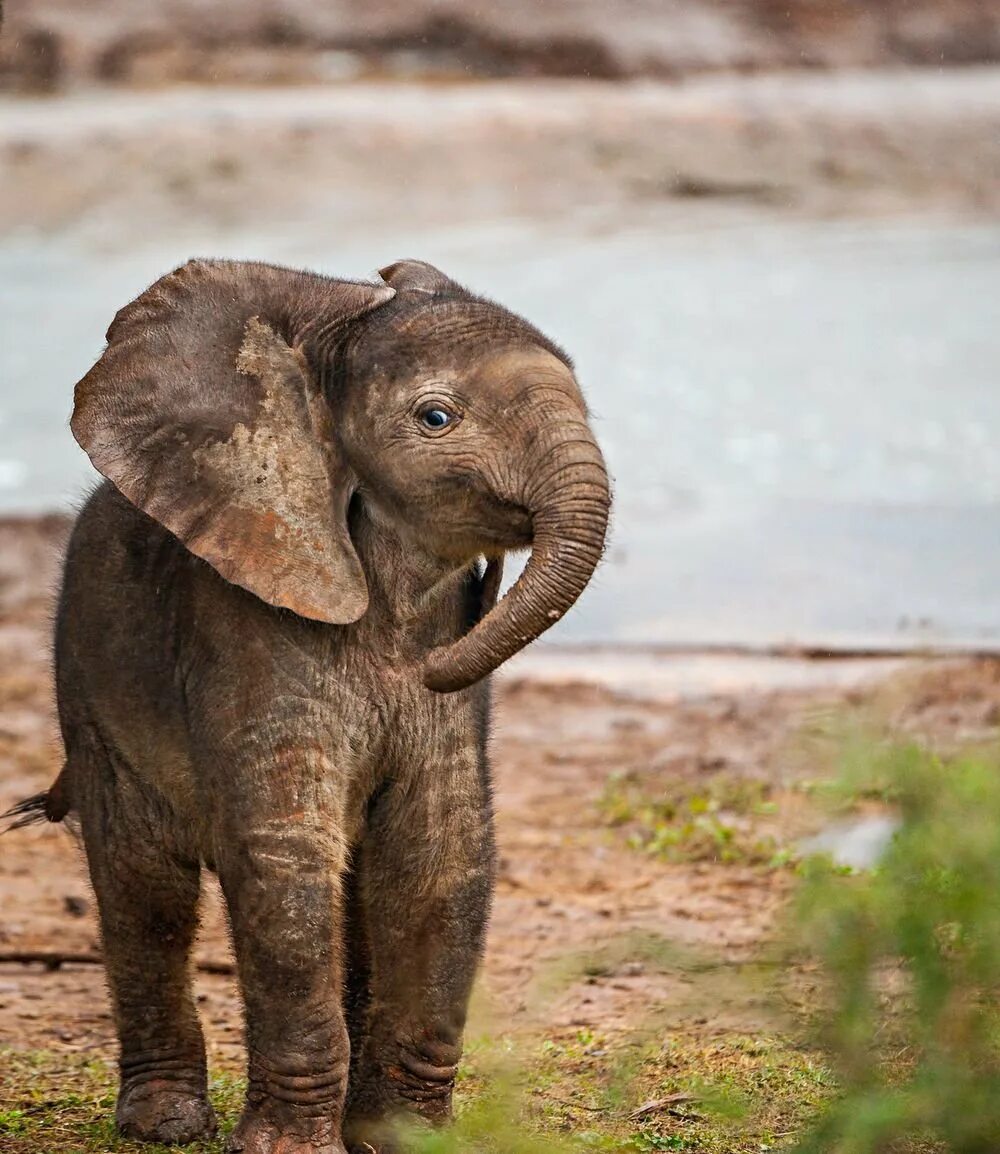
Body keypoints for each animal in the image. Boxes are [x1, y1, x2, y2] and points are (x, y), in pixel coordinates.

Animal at [15, 259, 608, 1154]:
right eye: (436, 417)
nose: (434, 669)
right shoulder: (245, 625)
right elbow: (283, 855)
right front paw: (290, 1149)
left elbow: (439, 850)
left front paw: (403, 1139)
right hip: (87, 687)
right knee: (145, 888)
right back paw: (164, 1124)